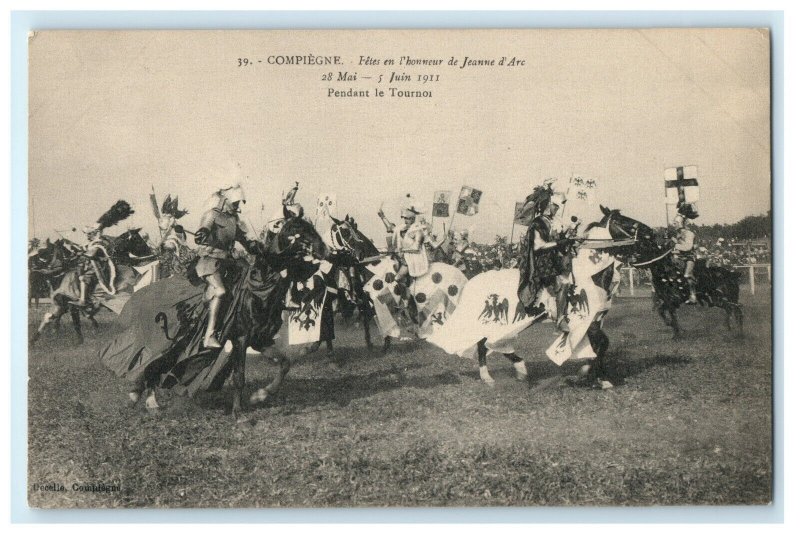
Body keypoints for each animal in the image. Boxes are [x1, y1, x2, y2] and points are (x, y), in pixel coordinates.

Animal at [101, 217, 326, 422]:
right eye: (299, 230)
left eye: (312, 228)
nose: (324, 250)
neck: (258, 290)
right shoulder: (241, 339)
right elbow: (239, 377)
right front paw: (238, 412)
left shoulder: (259, 340)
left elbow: (285, 364)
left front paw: (260, 395)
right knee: (150, 362)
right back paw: (143, 398)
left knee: (154, 366)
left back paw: (145, 399)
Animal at [600, 205, 744, 340]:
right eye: (621, 220)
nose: (647, 229)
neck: (663, 266)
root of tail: (733, 274)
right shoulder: (665, 299)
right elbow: (662, 312)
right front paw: (674, 328)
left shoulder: (673, 300)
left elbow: (671, 314)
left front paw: (677, 334)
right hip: (716, 299)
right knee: (729, 309)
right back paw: (728, 327)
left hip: (729, 298)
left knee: (737, 310)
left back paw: (739, 331)